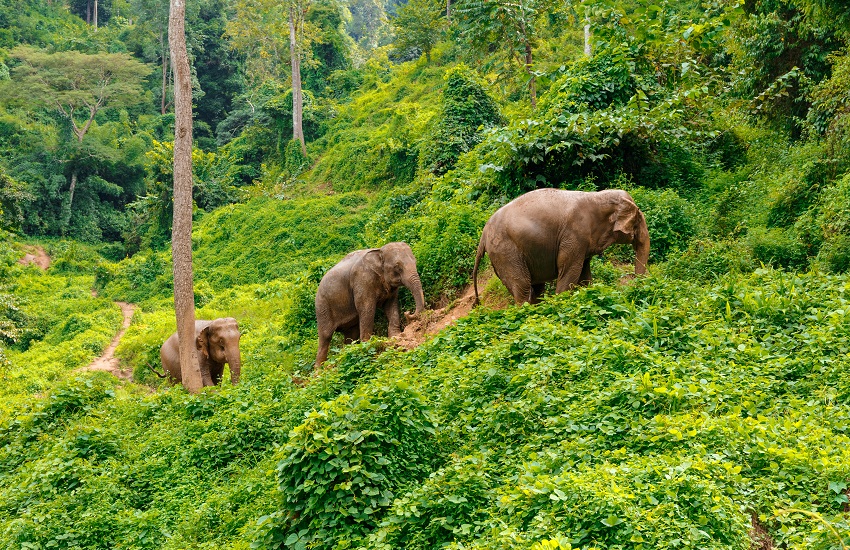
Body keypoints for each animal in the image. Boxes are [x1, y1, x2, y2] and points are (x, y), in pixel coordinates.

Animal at [472, 188, 650, 305]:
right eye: (638, 221)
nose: (633, 289)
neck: (598, 196)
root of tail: (483, 236)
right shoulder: (574, 235)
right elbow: (570, 269)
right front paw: (561, 302)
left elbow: (584, 274)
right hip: (506, 251)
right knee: (523, 287)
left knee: (535, 287)